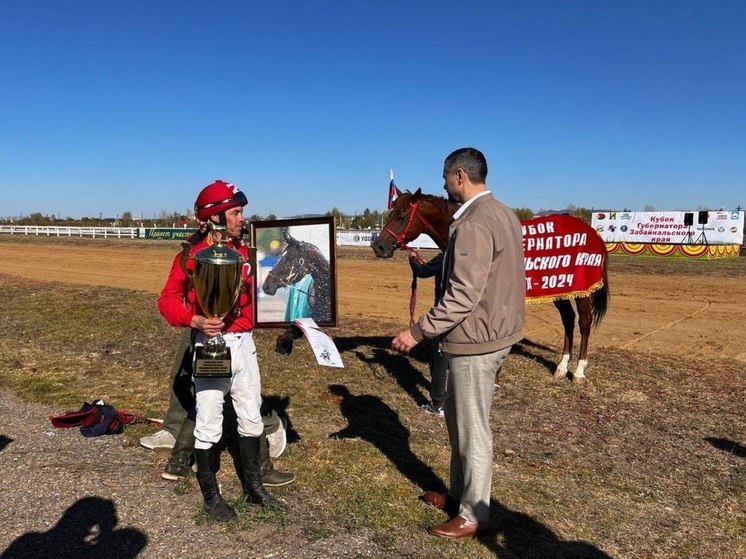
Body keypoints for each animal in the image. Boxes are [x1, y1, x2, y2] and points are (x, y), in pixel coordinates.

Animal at [372, 189, 612, 384]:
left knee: (584, 323)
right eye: (390, 213)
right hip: (559, 289)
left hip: (582, 292)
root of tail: (594, 234)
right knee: (568, 320)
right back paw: (561, 367)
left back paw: (579, 371)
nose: (378, 246)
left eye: (402, 216)